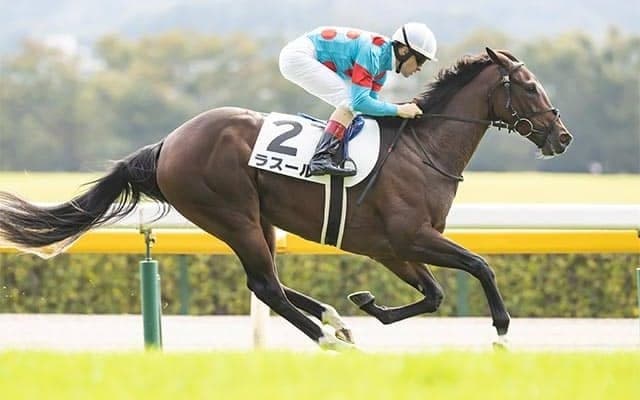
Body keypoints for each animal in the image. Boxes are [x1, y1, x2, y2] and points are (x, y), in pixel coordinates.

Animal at [0, 47, 572, 350]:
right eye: (528, 86)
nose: (562, 136)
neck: (422, 149)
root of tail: (166, 144)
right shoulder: (412, 236)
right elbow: (480, 266)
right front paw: (501, 332)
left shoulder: (392, 248)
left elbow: (432, 294)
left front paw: (367, 304)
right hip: (232, 214)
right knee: (265, 285)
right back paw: (327, 339)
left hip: (259, 220)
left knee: (269, 280)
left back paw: (335, 321)